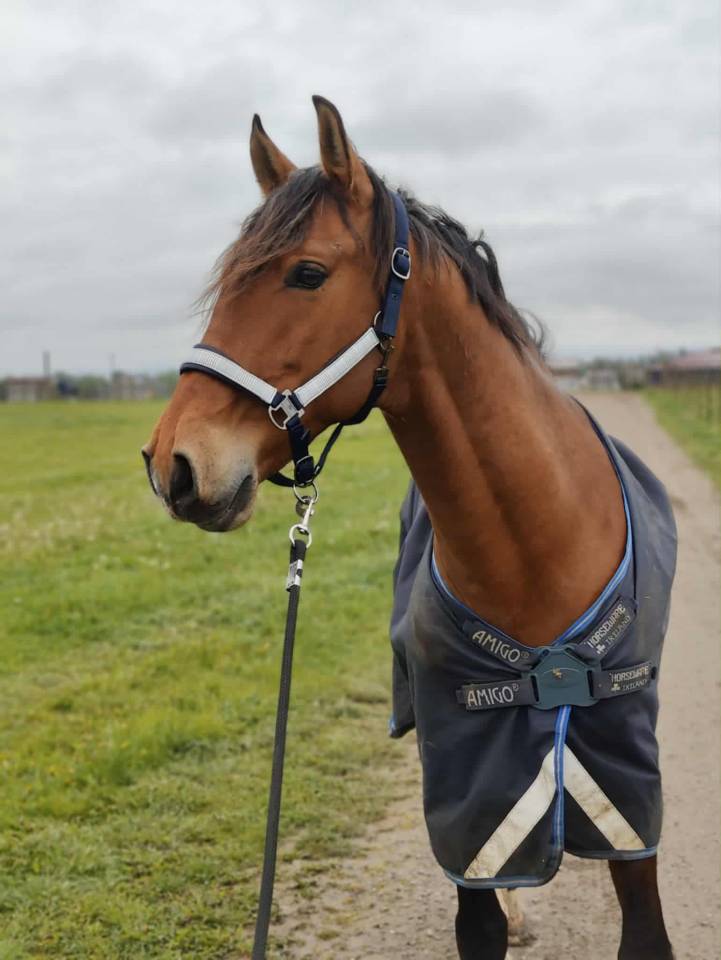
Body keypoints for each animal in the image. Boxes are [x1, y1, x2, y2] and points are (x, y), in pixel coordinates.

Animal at [142, 95, 676, 960]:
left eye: (306, 273)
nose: (173, 465)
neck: (537, 547)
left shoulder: (630, 790)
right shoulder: (470, 788)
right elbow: (478, 908)